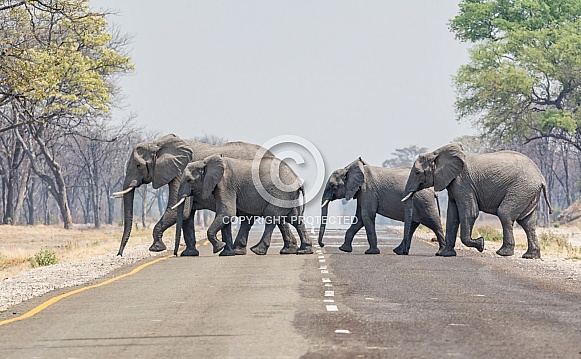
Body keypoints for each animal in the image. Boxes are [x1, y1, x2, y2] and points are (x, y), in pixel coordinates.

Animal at [172, 155, 312, 256]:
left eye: (189, 180)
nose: (176, 254)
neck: (205, 161)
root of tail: (297, 179)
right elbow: (226, 215)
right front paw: (225, 252)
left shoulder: (225, 184)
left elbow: (227, 212)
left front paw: (218, 248)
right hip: (288, 196)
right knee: (294, 219)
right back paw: (302, 251)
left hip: (280, 193)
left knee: (271, 217)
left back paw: (257, 251)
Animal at [398, 145, 552, 260]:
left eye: (417, 173)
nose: (404, 252)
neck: (437, 153)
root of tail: (542, 178)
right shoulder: (453, 183)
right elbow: (452, 216)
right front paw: (446, 255)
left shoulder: (463, 182)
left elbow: (470, 213)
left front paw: (481, 244)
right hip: (528, 193)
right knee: (527, 222)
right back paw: (530, 256)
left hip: (521, 189)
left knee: (505, 214)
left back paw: (503, 253)